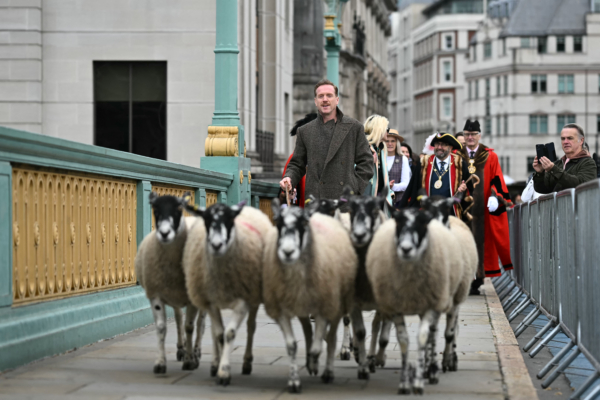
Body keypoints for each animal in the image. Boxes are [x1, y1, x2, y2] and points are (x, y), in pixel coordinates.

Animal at [134, 193, 206, 376]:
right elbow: (161, 327)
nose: (164, 233)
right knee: (179, 319)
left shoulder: (191, 299)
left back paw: (196, 352)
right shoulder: (156, 294)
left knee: (200, 325)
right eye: (155, 209)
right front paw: (160, 363)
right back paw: (181, 349)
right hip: (174, 295)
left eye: (178, 208)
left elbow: (190, 327)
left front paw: (190, 361)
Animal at [180, 202, 270, 386]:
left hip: (254, 297)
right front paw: (219, 366)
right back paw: (214, 364)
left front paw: (224, 372)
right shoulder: (211, 302)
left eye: (229, 220)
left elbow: (229, 333)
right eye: (206, 220)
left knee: (251, 327)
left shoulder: (242, 302)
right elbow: (219, 334)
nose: (216, 245)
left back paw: (247, 363)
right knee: (214, 332)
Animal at [420, 195, 480, 374]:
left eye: (445, 213)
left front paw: (447, 361)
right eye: (426, 213)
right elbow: (428, 332)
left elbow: (449, 333)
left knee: (452, 327)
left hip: (458, 296)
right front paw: (428, 365)